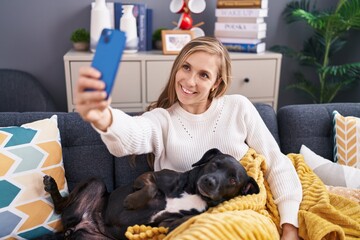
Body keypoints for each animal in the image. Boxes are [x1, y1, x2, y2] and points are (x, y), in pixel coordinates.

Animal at [41, 149, 258, 239]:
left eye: (233, 180)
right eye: (214, 164)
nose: (209, 181)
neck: (194, 192)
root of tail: (75, 226)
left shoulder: (166, 222)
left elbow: (182, 221)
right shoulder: (147, 176)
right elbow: (152, 188)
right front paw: (131, 201)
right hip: (96, 182)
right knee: (60, 206)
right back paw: (51, 185)